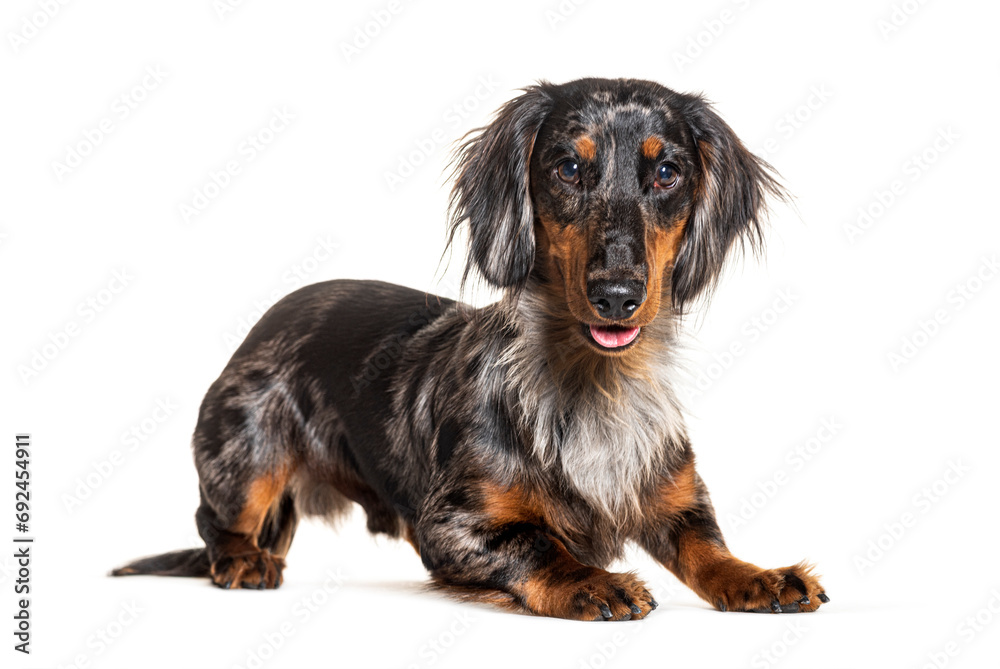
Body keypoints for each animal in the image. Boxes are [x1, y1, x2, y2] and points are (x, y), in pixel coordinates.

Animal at [113, 78, 828, 620]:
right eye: (568, 167)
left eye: (668, 173)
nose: (617, 294)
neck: (594, 382)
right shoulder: (451, 525)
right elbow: (539, 543)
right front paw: (593, 582)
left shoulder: (673, 496)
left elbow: (706, 549)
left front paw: (760, 576)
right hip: (248, 460)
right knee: (216, 524)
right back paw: (242, 561)